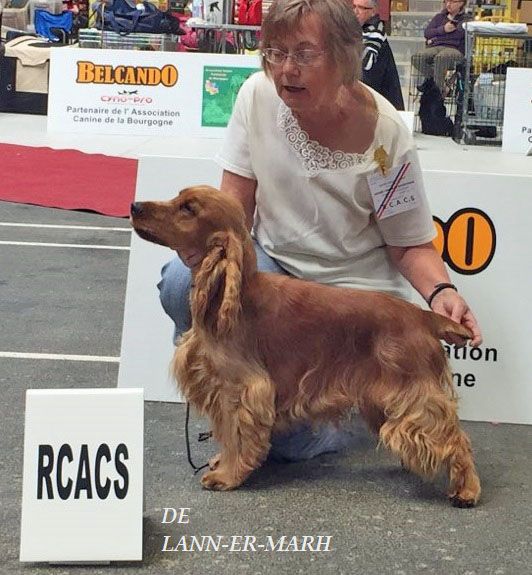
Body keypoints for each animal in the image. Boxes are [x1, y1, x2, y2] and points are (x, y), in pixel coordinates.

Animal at [132, 187, 482, 506]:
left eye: (188, 208)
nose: (135, 206)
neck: (233, 295)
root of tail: (422, 315)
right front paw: (221, 463)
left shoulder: (241, 388)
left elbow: (236, 434)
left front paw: (226, 475)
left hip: (415, 393)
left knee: (454, 437)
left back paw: (466, 490)